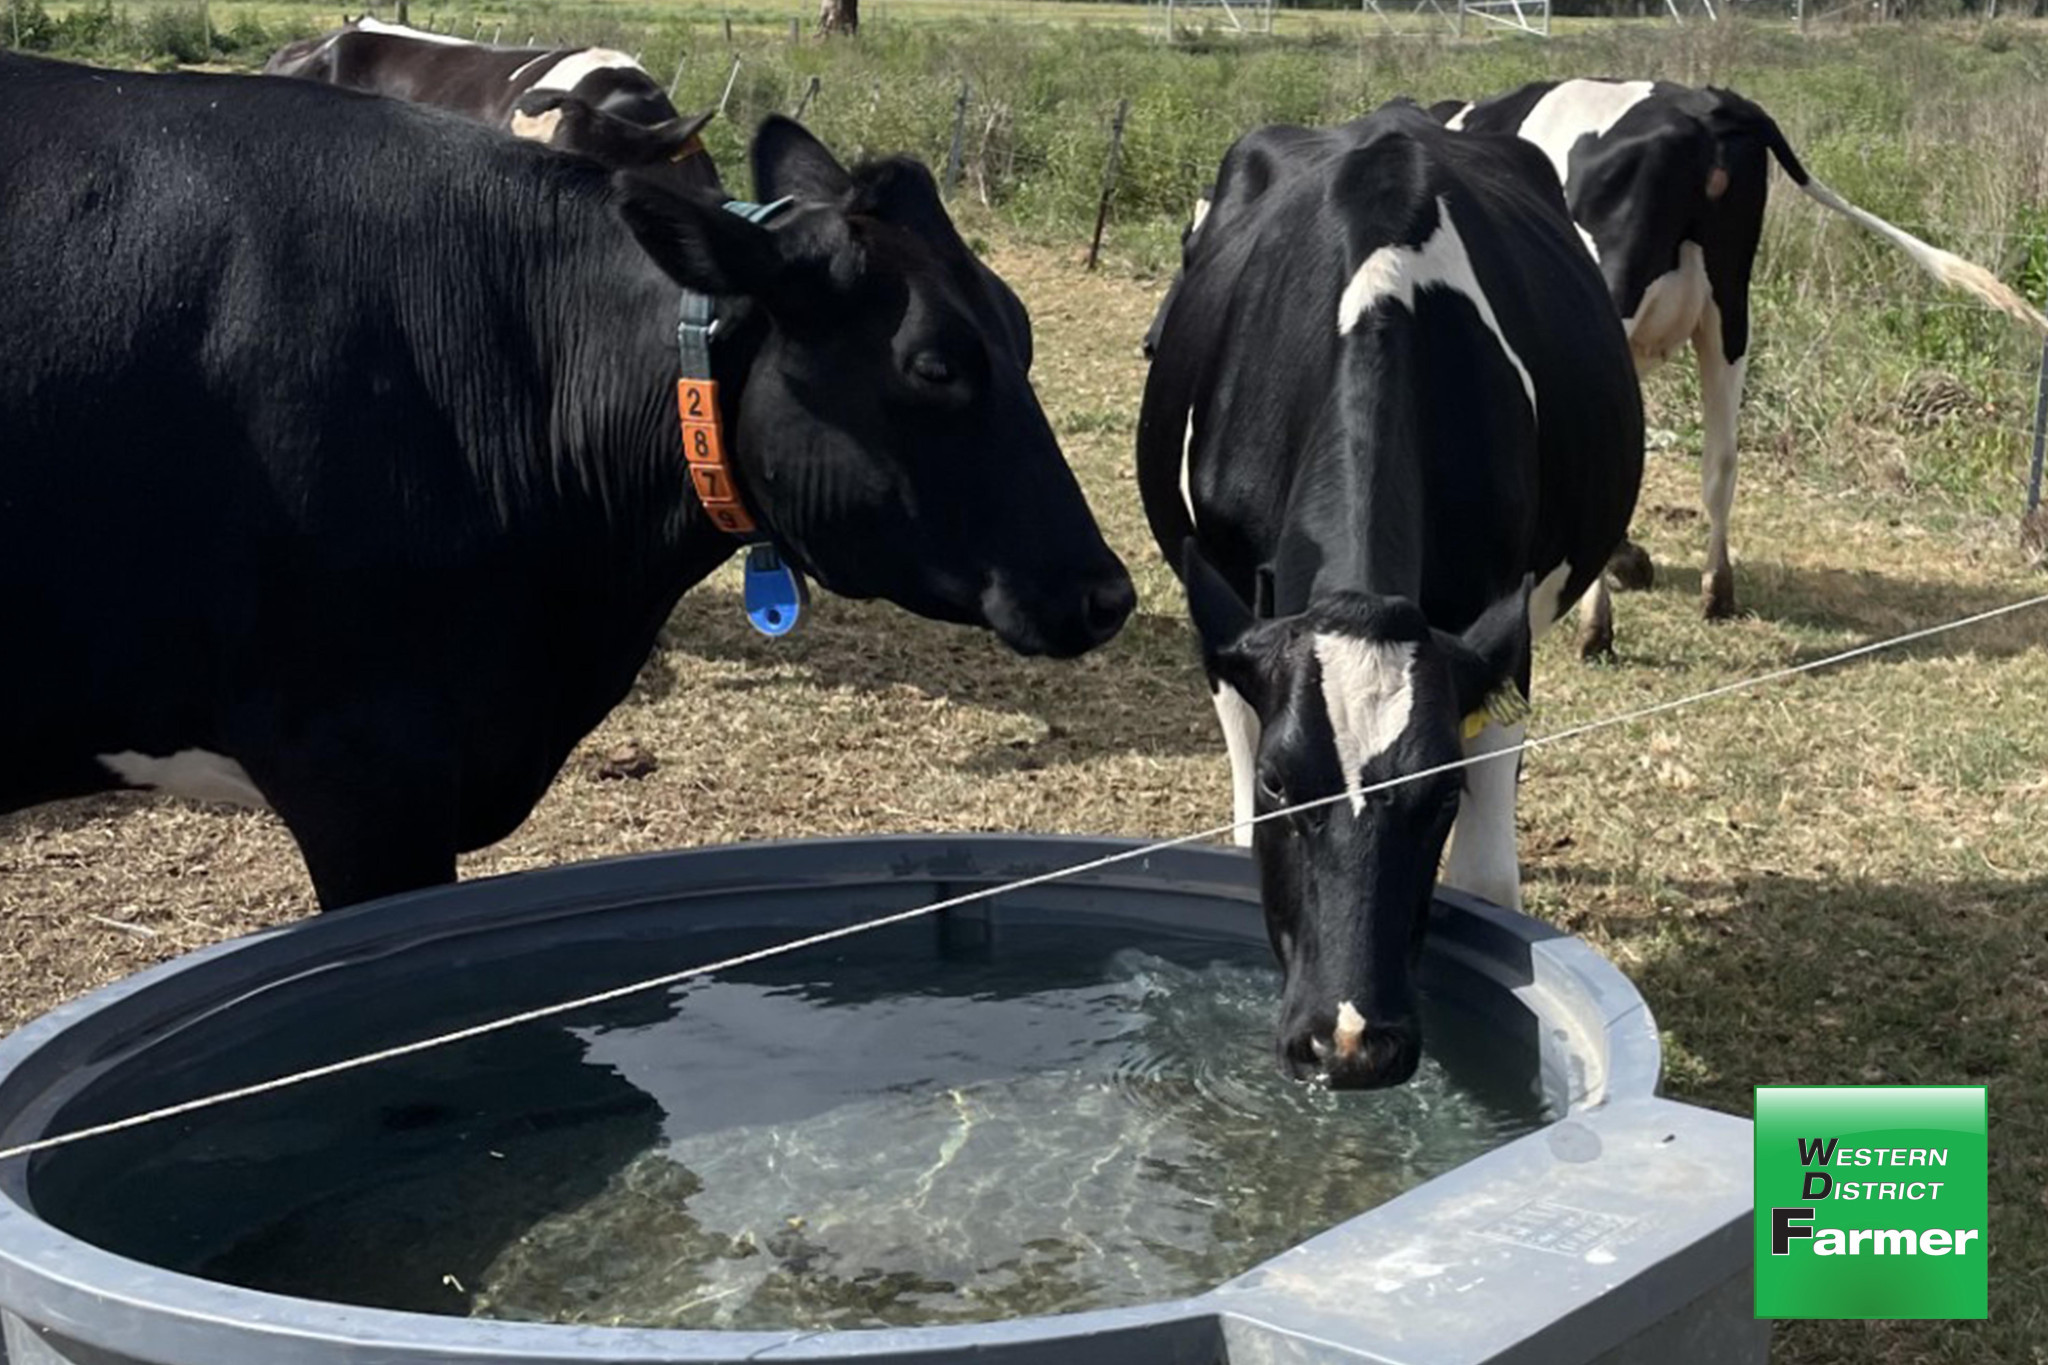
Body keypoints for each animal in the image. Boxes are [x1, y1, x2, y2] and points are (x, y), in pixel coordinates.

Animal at [1138, 104, 1646, 1088]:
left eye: (1440, 793)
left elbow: (1491, 885)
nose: (1350, 1041)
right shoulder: (1229, 628)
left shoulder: (1501, 640)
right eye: (1280, 783)